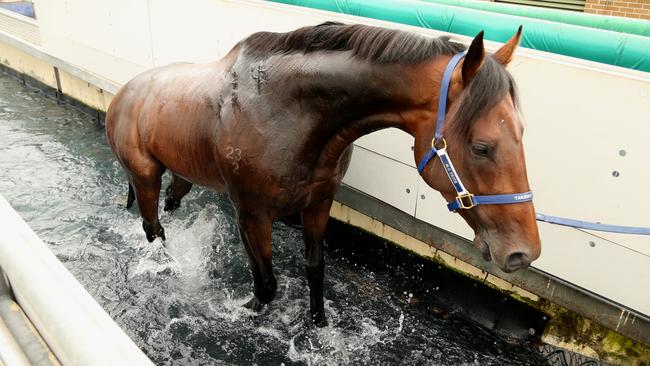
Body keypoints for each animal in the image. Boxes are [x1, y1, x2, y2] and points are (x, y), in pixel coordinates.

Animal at [106, 22, 540, 326]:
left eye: (522, 132)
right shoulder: (251, 215)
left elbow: (315, 269)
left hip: (183, 174)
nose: (525, 251)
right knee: (153, 227)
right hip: (144, 176)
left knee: (170, 204)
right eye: (481, 147)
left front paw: (317, 324)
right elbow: (266, 286)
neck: (285, 111)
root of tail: (124, 93)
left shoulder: (318, 203)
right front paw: (245, 312)